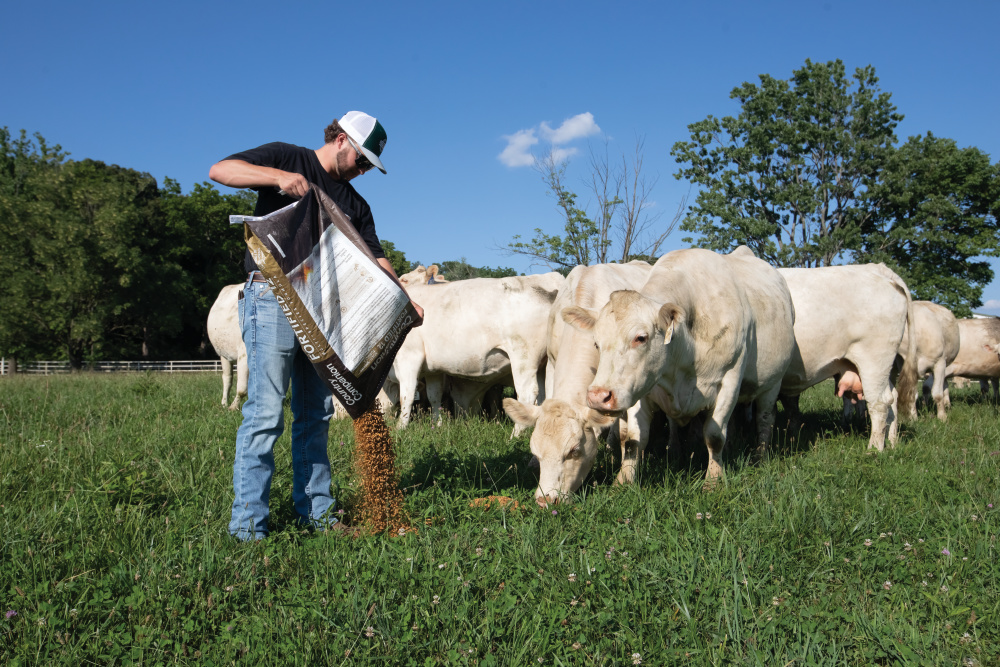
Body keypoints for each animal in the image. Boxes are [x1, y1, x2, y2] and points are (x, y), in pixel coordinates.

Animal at [392, 273, 565, 434]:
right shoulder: (433, 370)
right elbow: (434, 396)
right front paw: (437, 425)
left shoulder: (408, 356)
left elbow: (406, 395)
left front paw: (400, 428)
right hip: (546, 363)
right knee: (545, 396)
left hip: (524, 356)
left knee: (527, 394)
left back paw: (516, 435)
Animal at [562, 247, 796, 488]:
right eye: (596, 343)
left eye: (640, 337)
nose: (599, 396)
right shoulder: (640, 387)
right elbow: (633, 439)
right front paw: (624, 481)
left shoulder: (730, 380)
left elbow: (714, 436)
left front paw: (714, 480)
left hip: (772, 384)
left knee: (765, 418)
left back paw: (760, 456)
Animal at [776, 264, 919, 449]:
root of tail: (876, 267)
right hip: (881, 367)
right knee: (892, 398)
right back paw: (892, 442)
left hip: (874, 360)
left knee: (880, 402)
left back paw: (874, 449)